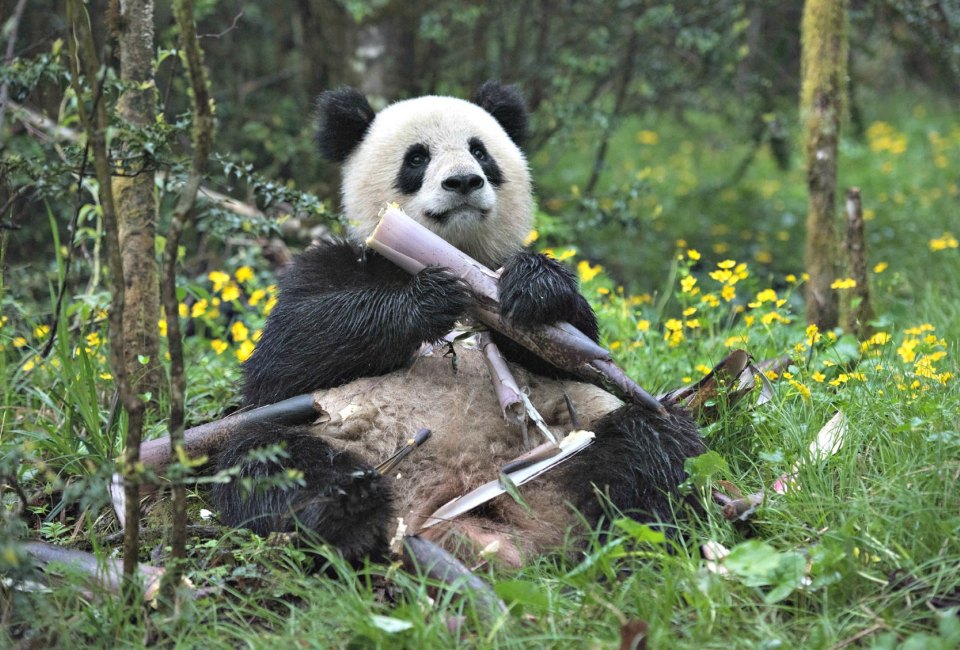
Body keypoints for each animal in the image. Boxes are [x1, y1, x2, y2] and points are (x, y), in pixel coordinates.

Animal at [212, 82, 704, 568]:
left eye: (480, 151)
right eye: (416, 158)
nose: (464, 181)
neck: (450, 250)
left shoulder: (501, 271)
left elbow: (577, 352)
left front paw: (536, 287)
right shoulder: (333, 263)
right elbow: (282, 357)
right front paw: (426, 298)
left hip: (578, 435)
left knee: (652, 444)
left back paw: (637, 543)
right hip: (331, 433)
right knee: (269, 460)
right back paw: (348, 511)